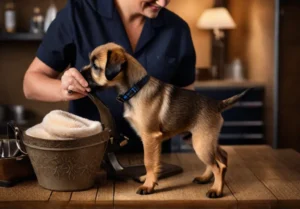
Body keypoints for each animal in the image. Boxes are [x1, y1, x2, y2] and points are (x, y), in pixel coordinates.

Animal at [81, 42, 250, 198]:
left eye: (95, 66)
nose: (80, 72)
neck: (136, 88)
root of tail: (217, 104)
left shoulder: (150, 137)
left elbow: (149, 162)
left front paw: (148, 186)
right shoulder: (151, 140)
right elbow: (154, 163)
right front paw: (148, 179)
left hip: (201, 143)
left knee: (218, 166)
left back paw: (216, 190)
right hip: (199, 139)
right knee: (221, 156)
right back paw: (205, 178)